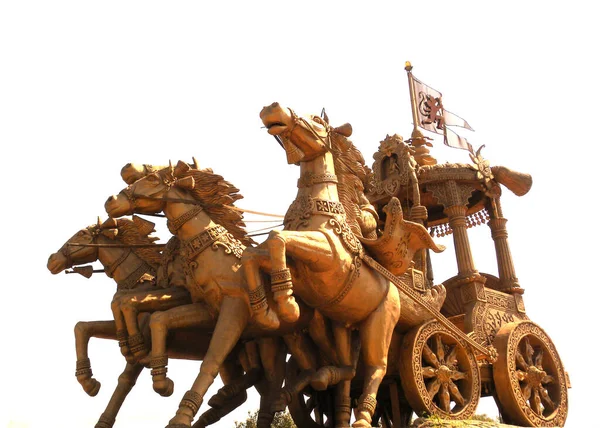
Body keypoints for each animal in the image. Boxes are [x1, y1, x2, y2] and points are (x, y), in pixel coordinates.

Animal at [243, 102, 446, 426]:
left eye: (316, 119)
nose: (272, 108)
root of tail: (398, 292)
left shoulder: (326, 254)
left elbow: (277, 238)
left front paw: (286, 303)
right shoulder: (298, 266)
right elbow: (255, 253)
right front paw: (264, 310)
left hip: (382, 320)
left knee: (377, 367)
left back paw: (361, 415)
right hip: (337, 322)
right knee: (348, 367)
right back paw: (313, 380)